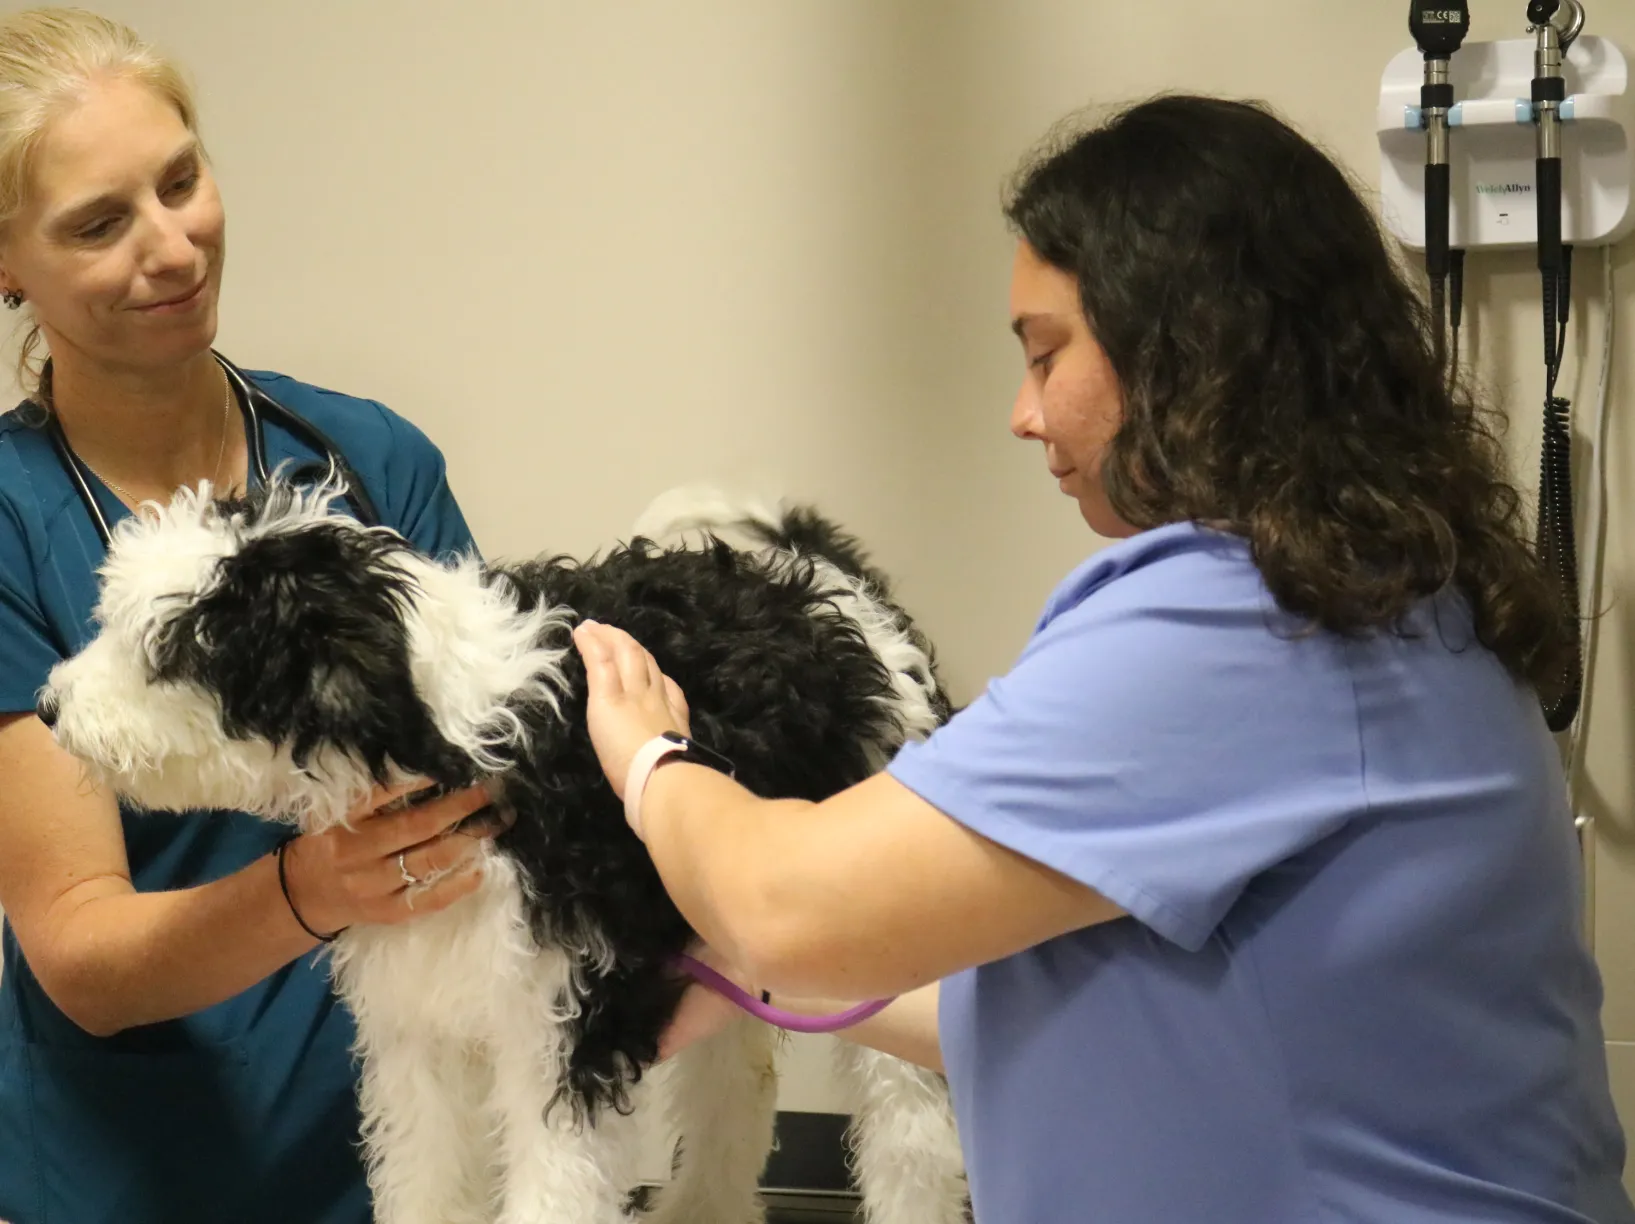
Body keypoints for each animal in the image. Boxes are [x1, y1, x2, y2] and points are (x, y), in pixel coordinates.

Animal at [38, 473, 967, 1222]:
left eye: (173, 653)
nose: (48, 709)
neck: (466, 734)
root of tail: (840, 594)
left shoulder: (564, 1033)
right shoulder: (419, 1035)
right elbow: (424, 1178)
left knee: (911, 1132)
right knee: (734, 1093)